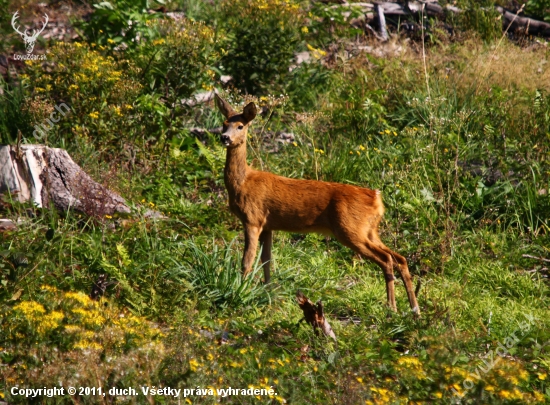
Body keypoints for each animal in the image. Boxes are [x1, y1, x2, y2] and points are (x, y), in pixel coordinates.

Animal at [217, 95, 422, 316]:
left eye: (240, 126)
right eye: (224, 123)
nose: (224, 138)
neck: (243, 182)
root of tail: (377, 199)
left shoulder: (252, 219)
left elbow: (247, 261)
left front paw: (240, 292)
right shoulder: (268, 225)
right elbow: (267, 260)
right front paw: (268, 292)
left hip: (350, 229)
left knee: (386, 259)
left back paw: (392, 307)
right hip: (370, 230)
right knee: (399, 258)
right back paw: (414, 309)